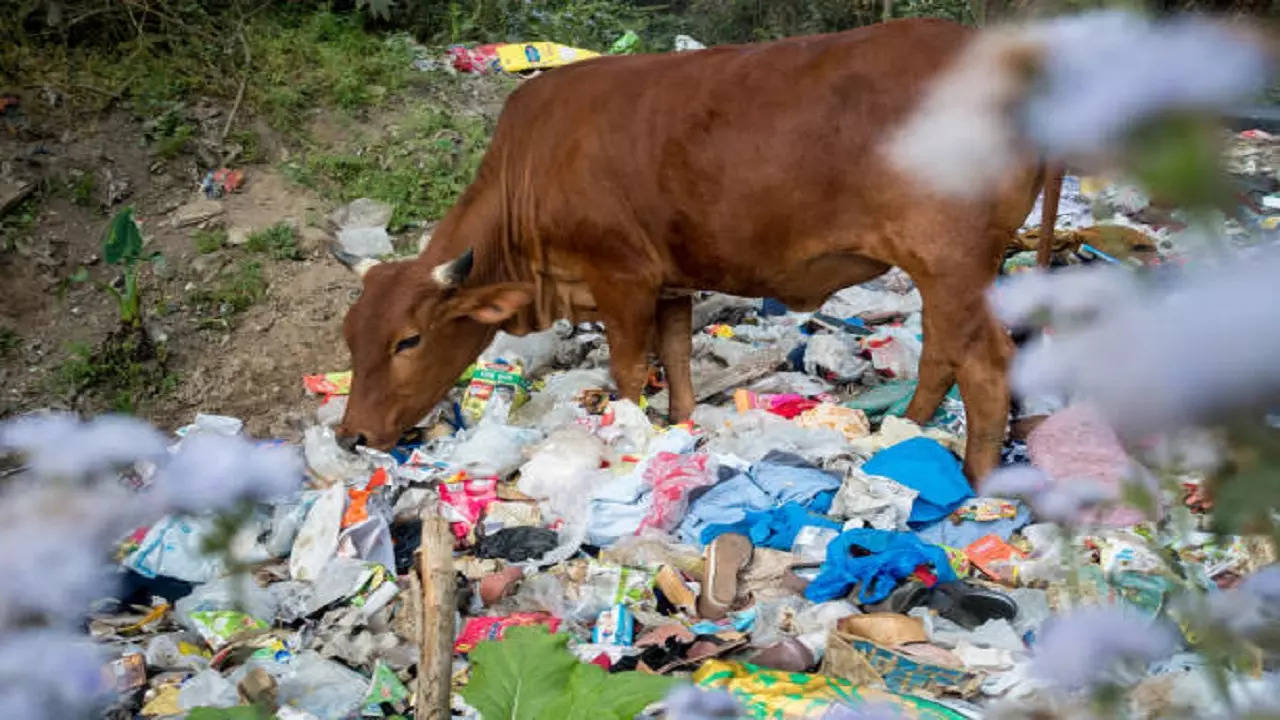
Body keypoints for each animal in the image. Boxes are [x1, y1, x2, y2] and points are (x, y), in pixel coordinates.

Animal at [335, 18, 1054, 481]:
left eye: (408, 340)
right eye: (351, 338)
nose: (351, 436)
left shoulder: (622, 279)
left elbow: (629, 371)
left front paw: (632, 437)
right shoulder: (671, 281)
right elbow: (678, 358)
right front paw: (681, 429)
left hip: (952, 261)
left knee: (984, 363)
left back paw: (976, 480)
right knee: (943, 352)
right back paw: (909, 427)